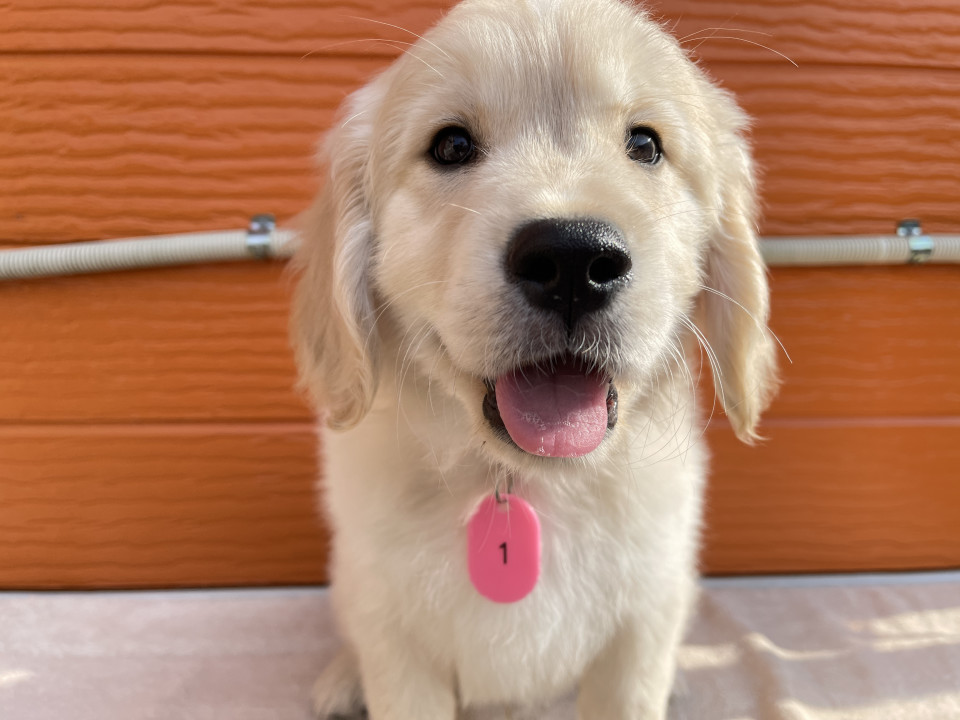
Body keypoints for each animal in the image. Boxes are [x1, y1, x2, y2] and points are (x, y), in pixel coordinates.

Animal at [291, 0, 778, 717]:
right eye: (451, 146)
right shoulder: (395, 634)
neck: (525, 480)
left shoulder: (642, 624)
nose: (573, 260)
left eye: (646, 145)